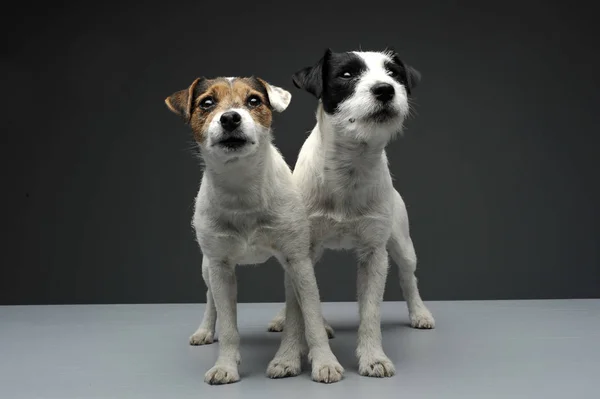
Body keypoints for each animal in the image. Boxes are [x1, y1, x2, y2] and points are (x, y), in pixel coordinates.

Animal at [165, 76, 342, 386]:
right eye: (206, 103)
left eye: (254, 100)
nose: (230, 118)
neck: (241, 189)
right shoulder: (220, 267)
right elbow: (227, 325)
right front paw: (225, 365)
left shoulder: (298, 260)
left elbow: (310, 314)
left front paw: (325, 362)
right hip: (206, 267)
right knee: (210, 299)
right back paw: (204, 330)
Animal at [268, 50, 436, 378]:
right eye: (346, 75)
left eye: (394, 73)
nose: (385, 89)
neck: (349, 168)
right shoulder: (300, 252)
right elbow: (297, 311)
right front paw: (287, 357)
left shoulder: (374, 254)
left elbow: (370, 312)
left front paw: (373, 357)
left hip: (402, 245)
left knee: (408, 277)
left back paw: (419, 312)